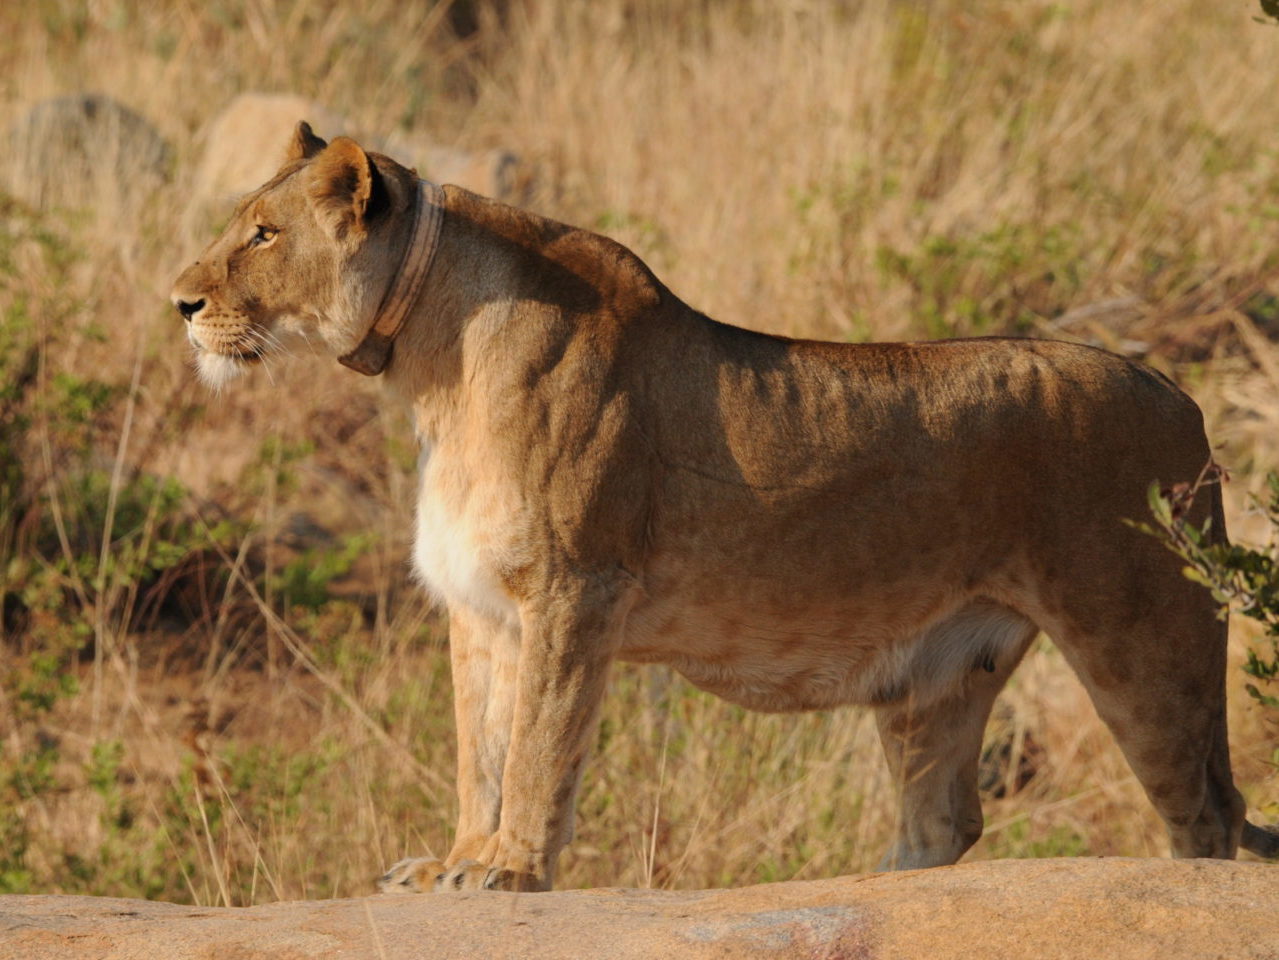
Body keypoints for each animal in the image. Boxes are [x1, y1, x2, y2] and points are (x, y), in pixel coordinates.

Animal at [171, 122, 1278, 893]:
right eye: (236, 224)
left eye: (262, 235)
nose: (179, 302)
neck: (433, 371)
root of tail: (1176, 389)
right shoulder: (481, 609)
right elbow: (477, 749)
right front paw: (454, 860)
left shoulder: (573, 591)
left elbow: (535, 747)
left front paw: (509, 869)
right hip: (942, 675)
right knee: (943, 821)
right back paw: (867, 887)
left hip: (1142, 635)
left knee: (1207, 817)